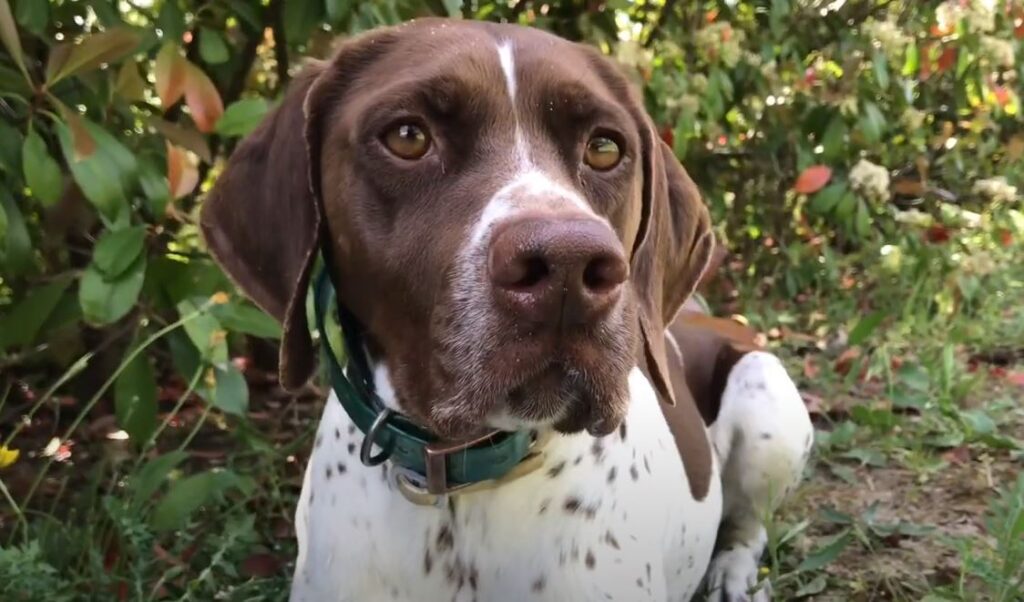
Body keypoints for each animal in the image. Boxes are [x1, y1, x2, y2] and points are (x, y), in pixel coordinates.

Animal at [199, 16, 815, 597]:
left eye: (605, 147)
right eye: (407, 136)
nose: (569, 266)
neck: (460, 488)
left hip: (767, 397)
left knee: (750, 525)